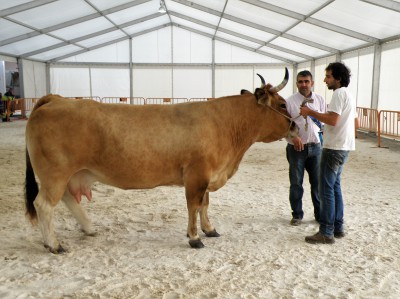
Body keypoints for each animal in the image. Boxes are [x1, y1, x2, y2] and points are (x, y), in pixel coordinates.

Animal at [25, 69, 296, 254]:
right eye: (283, 104)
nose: (296, 126)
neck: (226, 125)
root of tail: (57, 98)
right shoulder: (196, 175)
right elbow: (194, 205)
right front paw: (194, 237)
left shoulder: (207, 177)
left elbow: (205, 205)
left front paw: (209, 230)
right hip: (55, 173)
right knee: (44, 205)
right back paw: (54, 244)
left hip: (70, 174)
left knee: (67, 199)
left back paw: (89, 228)